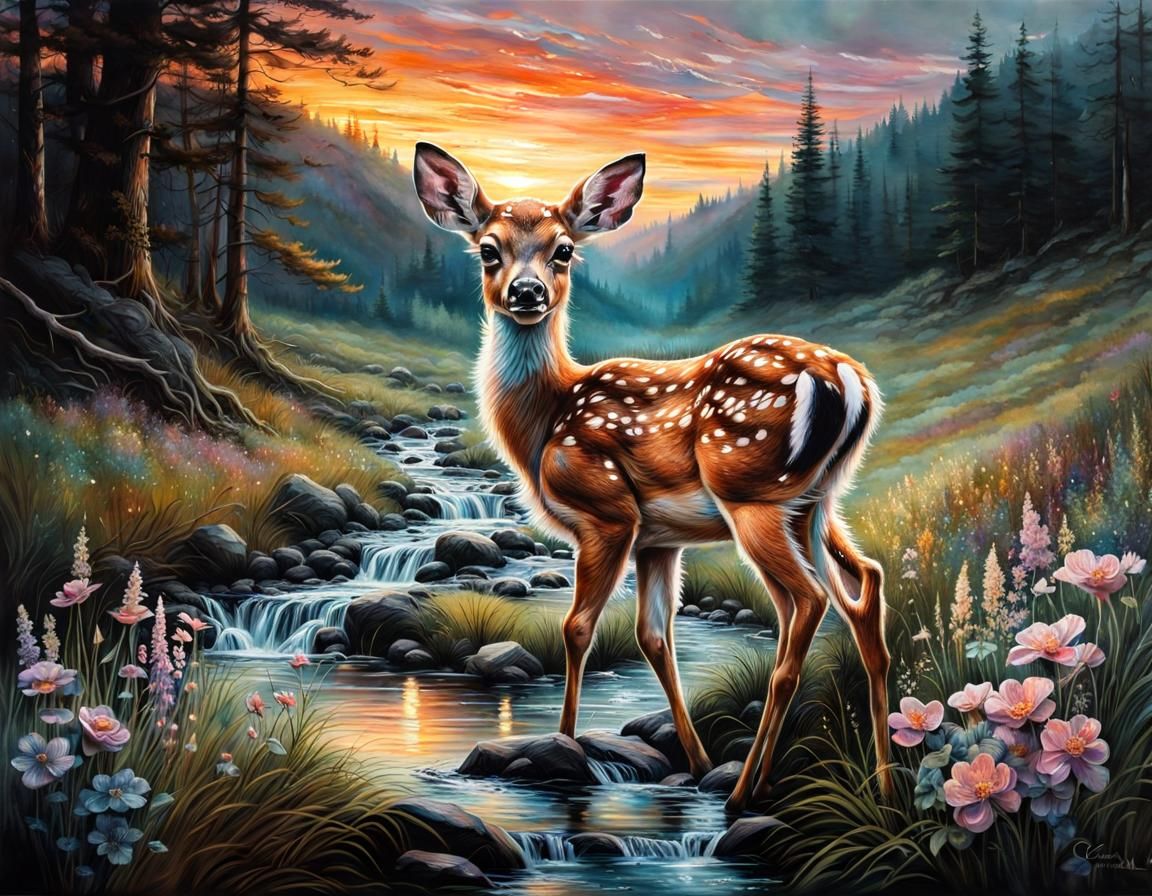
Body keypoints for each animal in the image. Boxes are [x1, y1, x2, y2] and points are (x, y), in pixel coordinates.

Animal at [413, 142, 893, 812]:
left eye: (564, 249)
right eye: (488, 248)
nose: (527, 291)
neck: (545, 422)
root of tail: (851, 381)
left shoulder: (606, 515)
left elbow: (577, 628)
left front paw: (565, 742)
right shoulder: (658, 541)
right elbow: (653, 637)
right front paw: (694, 759)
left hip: (752, 494)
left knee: (807, 603)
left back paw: (744, 791)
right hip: (817, 503)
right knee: (866, 586)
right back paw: (885, 785)